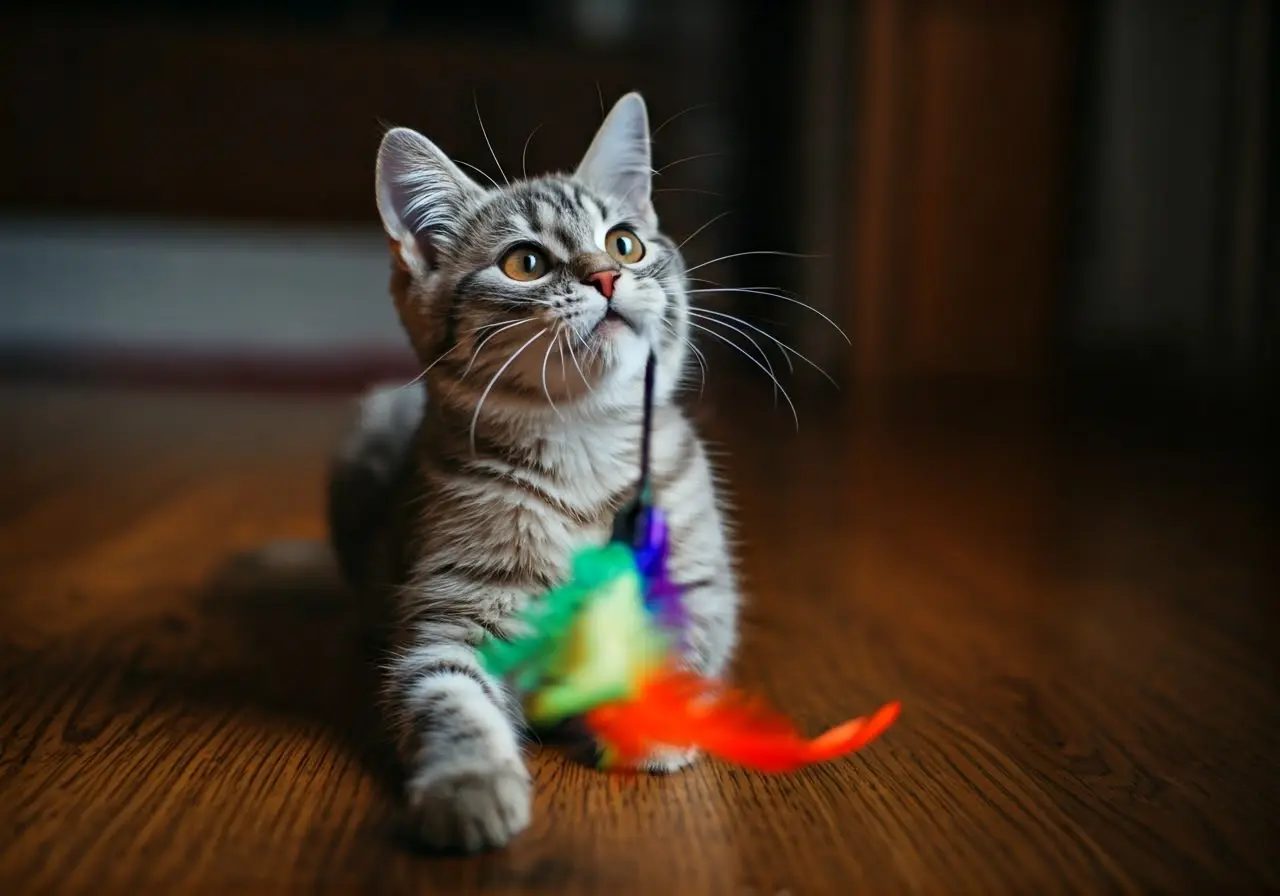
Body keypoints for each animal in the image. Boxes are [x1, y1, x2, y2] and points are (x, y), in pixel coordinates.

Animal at [327, 92, 742, 855]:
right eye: (525, 262)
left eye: (625, 244)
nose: (606, 275)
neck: (584, 448)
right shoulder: (447, 617)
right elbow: (449, 700)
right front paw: (469, 786)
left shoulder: (698, 583)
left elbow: (675, 649)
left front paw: (644, 725)